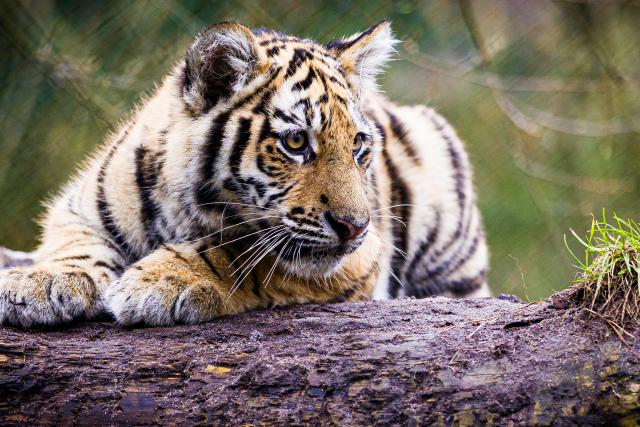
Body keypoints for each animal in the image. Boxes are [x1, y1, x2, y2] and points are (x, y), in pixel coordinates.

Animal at [0, 20, 489, 328]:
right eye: (296, 142)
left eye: (358, 147)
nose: (355, 226)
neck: (191, 208)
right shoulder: (79, 205)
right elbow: (76, 245)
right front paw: (38, 284)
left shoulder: (358, 259)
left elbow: (238, 254)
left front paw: (161, 282)